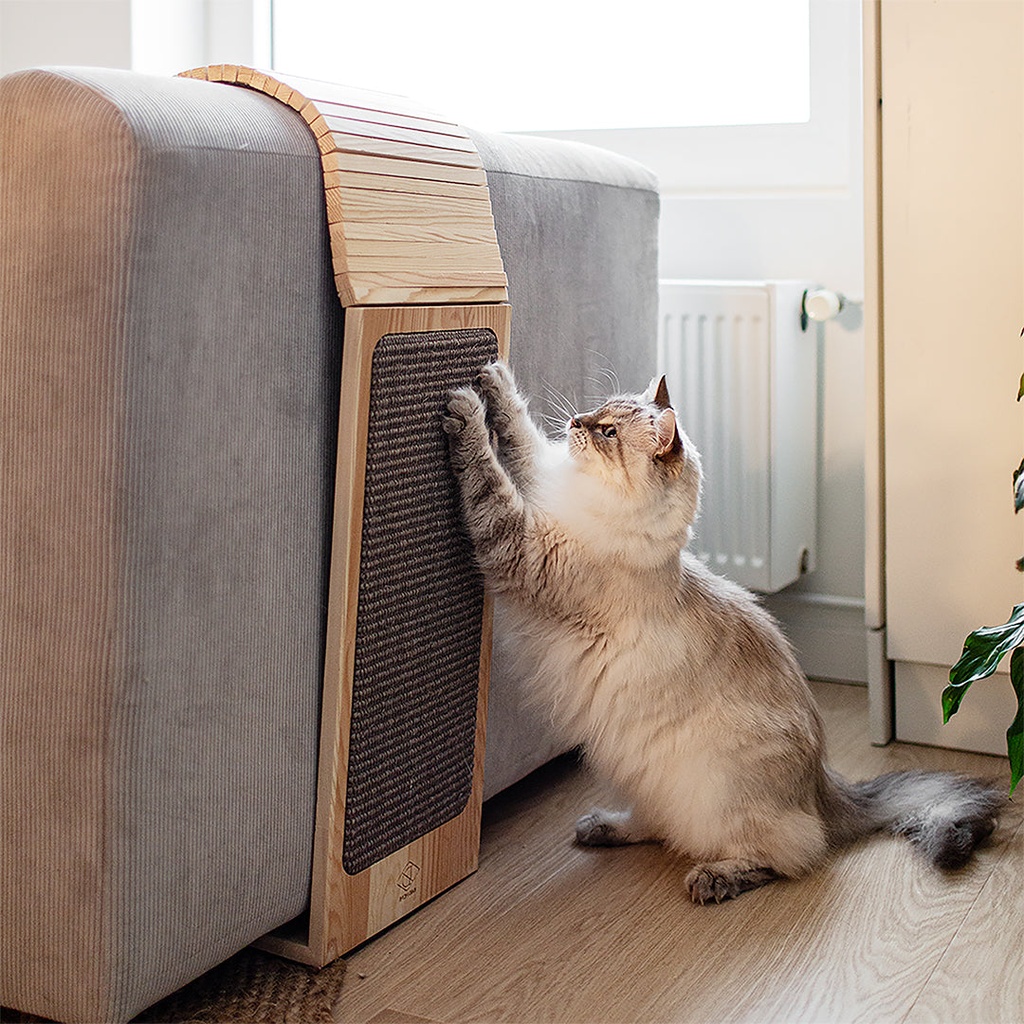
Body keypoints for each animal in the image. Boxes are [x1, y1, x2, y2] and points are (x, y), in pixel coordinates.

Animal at [444, 360, 1003, 905]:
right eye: (597, 414)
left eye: (607, 433)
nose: (576, 423)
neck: (591, 503)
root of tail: (823, 785)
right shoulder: (542, 482)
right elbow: (520, 435)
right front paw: (493, 377)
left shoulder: (519, 545)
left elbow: (488, 479)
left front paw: (465, 411)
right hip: (647, 780)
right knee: (659, 826)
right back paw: (600, 827)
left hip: (722, 797)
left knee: (791, 853)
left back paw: (714, 880)